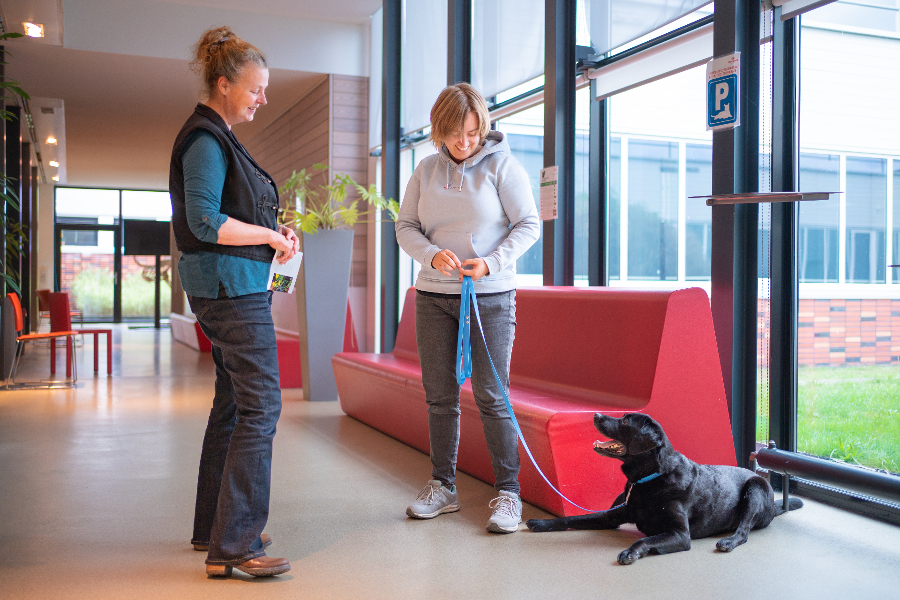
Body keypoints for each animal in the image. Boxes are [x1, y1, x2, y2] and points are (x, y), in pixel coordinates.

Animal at [524, 414, 804, 564]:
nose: (595, 415)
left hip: (755, 487)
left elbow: (645, 539)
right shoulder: (611, 515)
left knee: (744, 530)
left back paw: (728, 540)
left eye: (625, 421)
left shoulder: (680, 534)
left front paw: (630, 552)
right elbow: (572, 518)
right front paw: (541, 523)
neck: (647, 480)